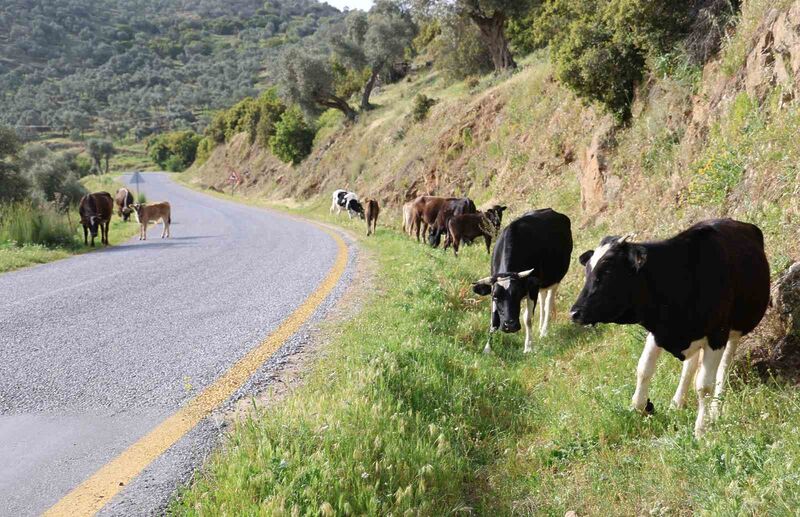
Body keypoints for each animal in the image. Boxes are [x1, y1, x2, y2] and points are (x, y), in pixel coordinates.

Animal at [472, 208, 572, 352]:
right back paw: (540, 328)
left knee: (548, 303)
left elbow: (527, 319)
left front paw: (528, 347)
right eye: (495, 297)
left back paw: (544, 331)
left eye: (518, 294)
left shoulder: (532, 287)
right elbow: (493, 320)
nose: (510, 326)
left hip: (555, 279)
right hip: (541, 283)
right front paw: (487, 348)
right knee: (542, 300)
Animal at [572, 218, 772, 436]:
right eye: (587, 271)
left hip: (735, 331)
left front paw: (702, 429)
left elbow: (704, 386)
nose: (574, 313)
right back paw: (677, 404)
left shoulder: (716, 335)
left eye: (607, 271)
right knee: (689, 367)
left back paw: (715, 410)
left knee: (722, 369)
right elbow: (643, 369)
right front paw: (643, 407)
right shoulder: (658, 331)